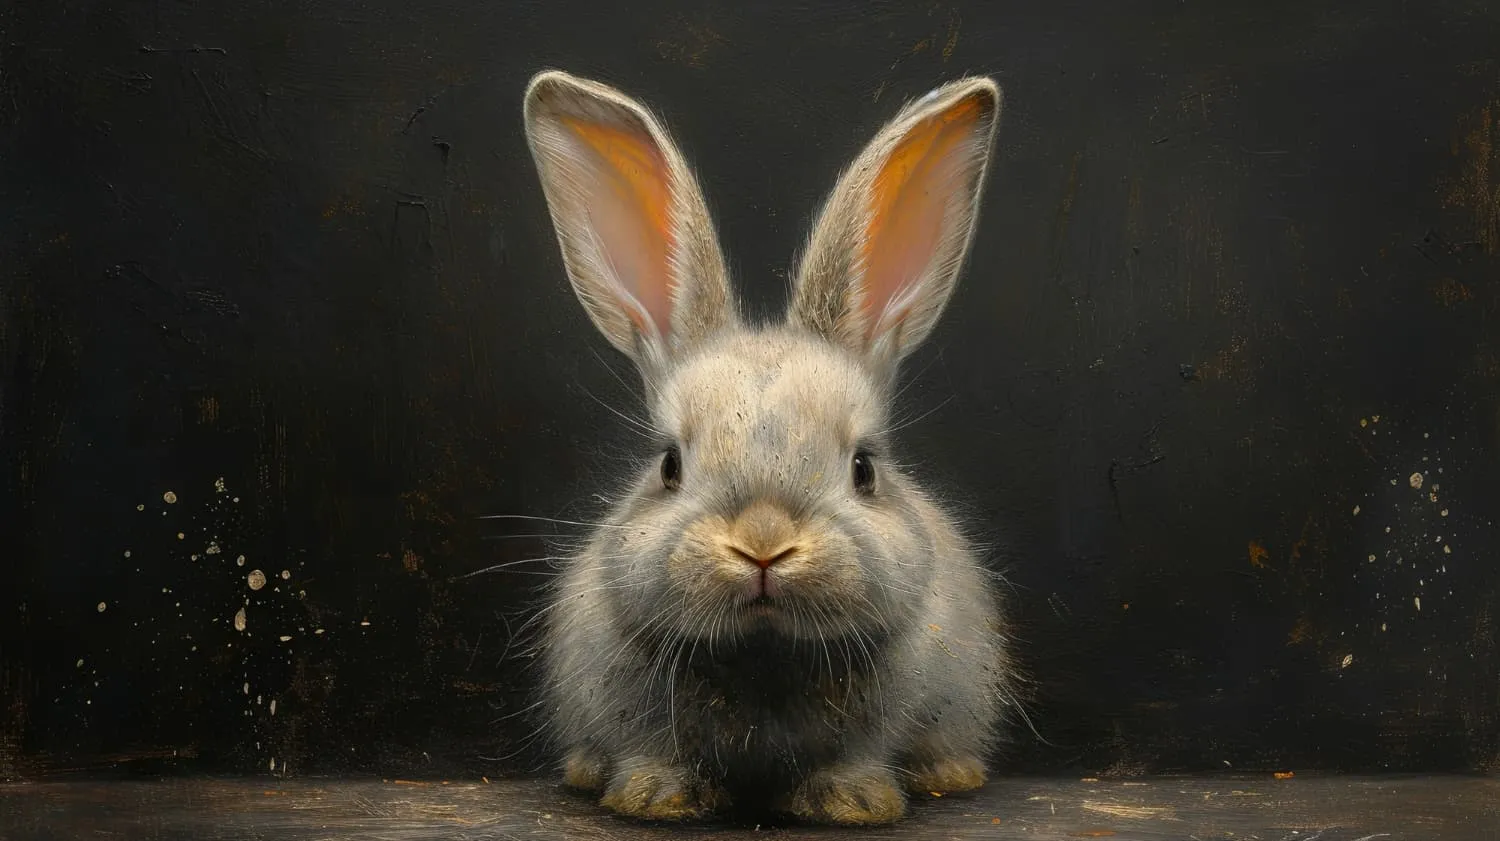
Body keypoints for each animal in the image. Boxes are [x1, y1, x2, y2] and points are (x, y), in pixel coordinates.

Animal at [520, 68, 1015, 826]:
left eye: (864, 468)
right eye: (669, 465)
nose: (762, 542)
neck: (763, 655)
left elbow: (856, 756)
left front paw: (853, 801)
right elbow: (650, 751)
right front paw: (653, 796)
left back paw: (951, 773)